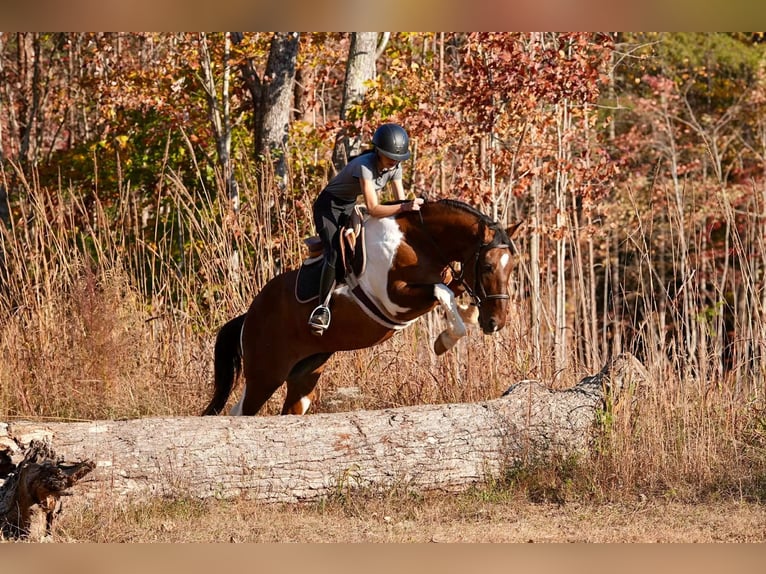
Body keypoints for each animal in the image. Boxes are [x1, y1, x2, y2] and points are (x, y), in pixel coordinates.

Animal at [202, 198, 521, 416]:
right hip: (266, 373)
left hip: (304, 374)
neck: (419, 241)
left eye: (512, 267)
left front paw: (464, 319)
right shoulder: (395, 300)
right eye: (488, 266)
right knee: (241, 412)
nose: (497, 323)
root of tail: (248, 316)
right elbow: (442, 291)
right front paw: (444, 341)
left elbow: (452, 292)